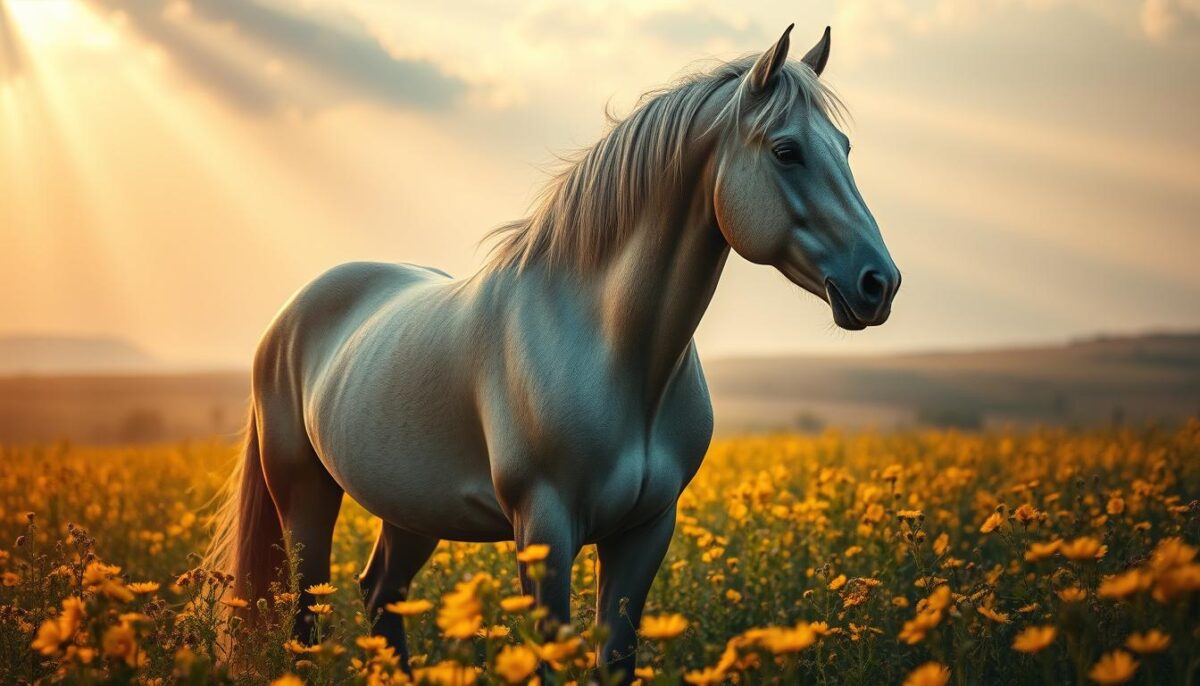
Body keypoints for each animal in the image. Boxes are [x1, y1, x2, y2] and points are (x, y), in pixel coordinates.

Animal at [208, 24, 899, 681]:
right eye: (786, 151)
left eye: (844, 148)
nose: (879, 283)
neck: (611, 352)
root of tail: (291, 315)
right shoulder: (544, 531)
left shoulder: (646, 531)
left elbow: (614, 657)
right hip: (305, 499)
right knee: (307, 617)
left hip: (410, 511)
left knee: (382, 595)